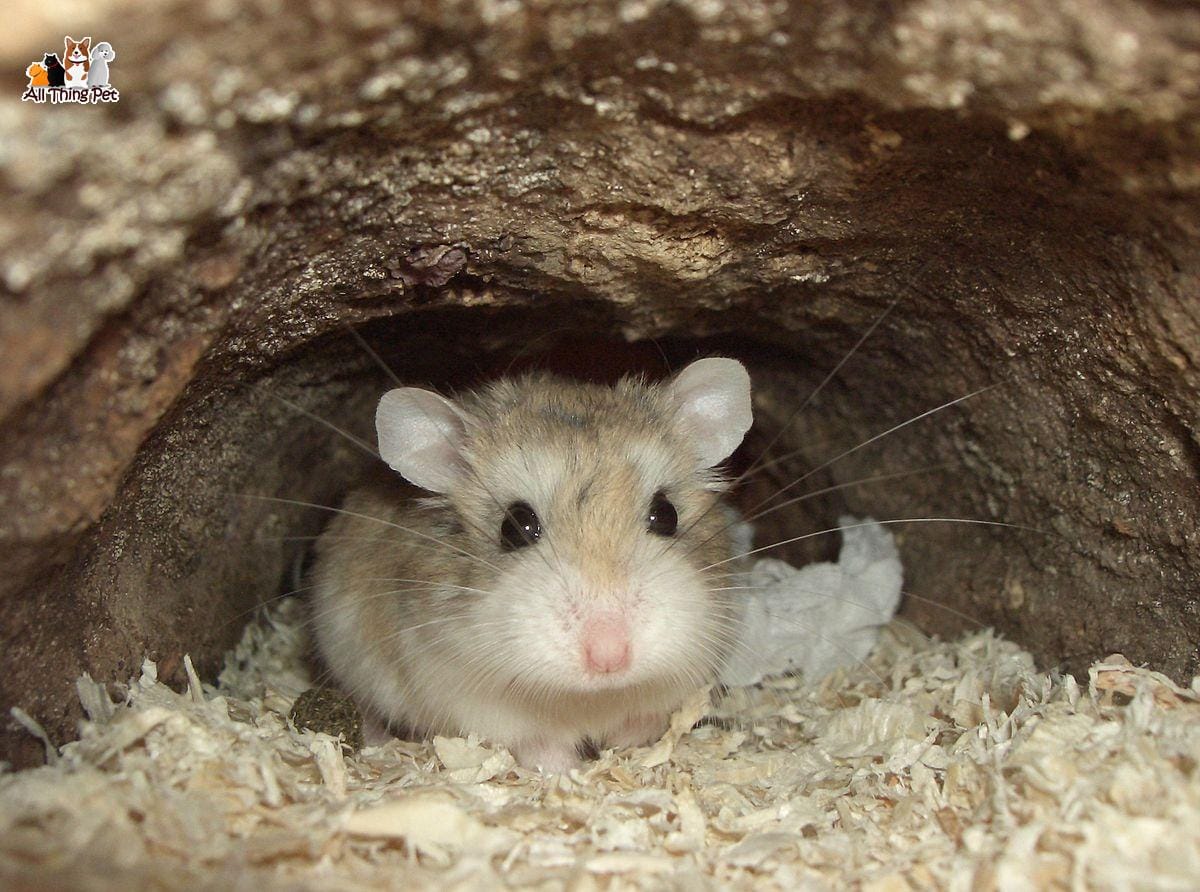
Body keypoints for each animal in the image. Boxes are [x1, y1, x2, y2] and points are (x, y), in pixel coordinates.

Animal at [309, 358, 753, 772]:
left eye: (666, 515)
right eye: (515, 527)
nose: (609, 657)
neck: (590, 698)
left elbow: (643, 722)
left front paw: (628, 746)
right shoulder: (468, 697)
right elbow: (539, 745)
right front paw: (565, 771)